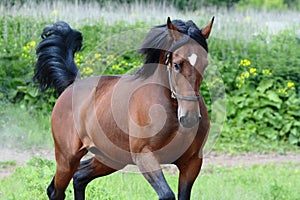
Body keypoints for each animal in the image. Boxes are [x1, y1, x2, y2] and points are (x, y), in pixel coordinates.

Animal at [33, 16, 213, 200]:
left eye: (204, 64)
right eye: (176, 65)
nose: (190, 117)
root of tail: (72, 85)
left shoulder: (192, 162)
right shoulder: (145, 156)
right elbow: (167, 195)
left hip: (110, 158)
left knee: (79, 177)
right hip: (67, 157)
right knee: (56, 190)